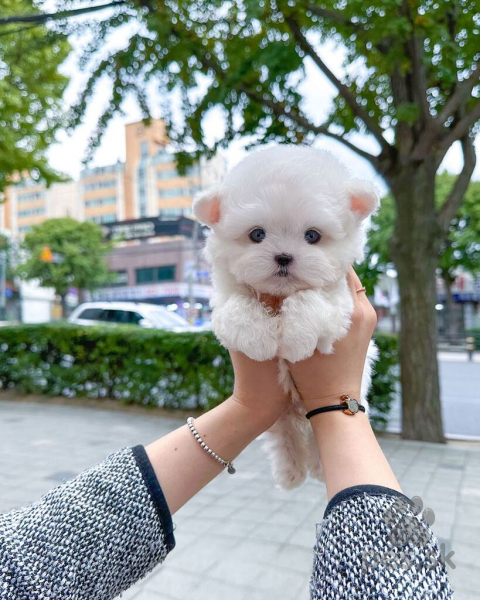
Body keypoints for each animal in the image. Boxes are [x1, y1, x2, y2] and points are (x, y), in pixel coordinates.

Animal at [193, 145, 376, 488]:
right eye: (257, 234)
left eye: (313, 236)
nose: (283, 257)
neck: (279, 295)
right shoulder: (224, 298)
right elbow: (238, 306)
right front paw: (260, 339)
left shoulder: (339, 300)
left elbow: (311, 300)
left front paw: (294, 340)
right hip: (279, 416)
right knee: (286, 436)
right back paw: (291, 472)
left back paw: (316, 467)